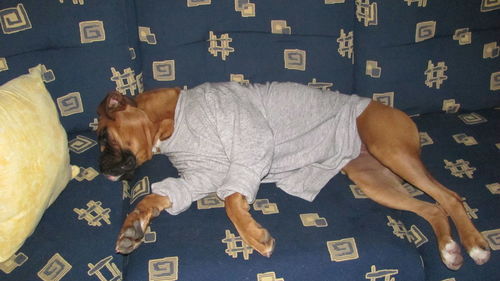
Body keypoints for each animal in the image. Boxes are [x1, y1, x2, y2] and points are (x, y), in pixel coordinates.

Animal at [97, 81, 492, 270]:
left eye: (103, 137)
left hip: (390, 150)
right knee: (431, 208)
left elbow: (231, 200)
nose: (100, 168)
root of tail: (393, 108)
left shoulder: (250, 146)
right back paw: (450, 250)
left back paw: (475, 245)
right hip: (375, 180)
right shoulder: (201, 174)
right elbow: (156, 196)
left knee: (450, 197)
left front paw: (254, 235)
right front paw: (132, 227)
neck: (170, 120)